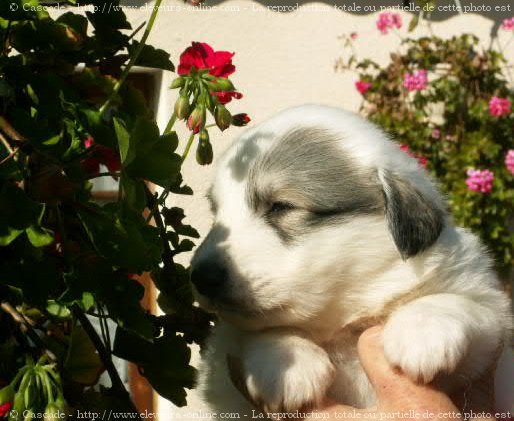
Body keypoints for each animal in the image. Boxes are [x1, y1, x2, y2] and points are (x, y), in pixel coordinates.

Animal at [189, 104, 512, 414]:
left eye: (281, 206)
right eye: (216, 213)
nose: (201, 277)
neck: (342, 322)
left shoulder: (493, 325)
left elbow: (467, 307)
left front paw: (423, 328)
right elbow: (250, 331)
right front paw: (284, 360)